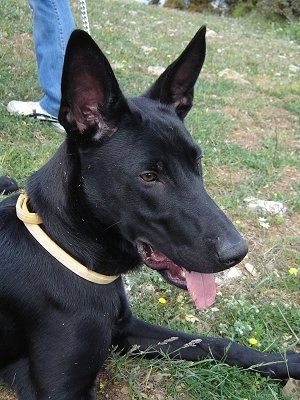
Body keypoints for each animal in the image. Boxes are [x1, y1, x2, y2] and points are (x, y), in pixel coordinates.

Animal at [0, 26, 298, 398]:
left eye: (197, 161)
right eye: (149, 177)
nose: (238, 253)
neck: (68, 249)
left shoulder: (126, 329)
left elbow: (216, 343)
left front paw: (284, 361)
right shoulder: (59, 390)